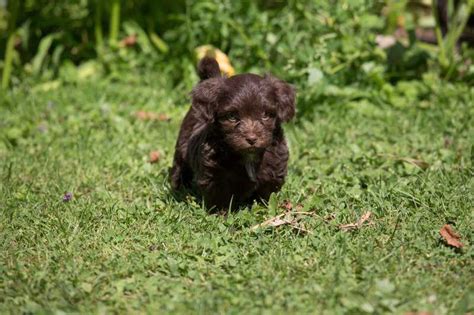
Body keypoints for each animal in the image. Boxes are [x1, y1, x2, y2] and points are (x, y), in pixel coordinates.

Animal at [170, 57, 296, 209]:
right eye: (231, 116)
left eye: (266, 115)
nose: (252, 139)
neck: (248, 156)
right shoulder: (214, 175)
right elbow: (219, 197)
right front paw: (220, 212)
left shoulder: (275, 168)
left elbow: (267, 192)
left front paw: (263, 207)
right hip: (182, 145)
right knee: (180, 166)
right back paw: (178, 188)